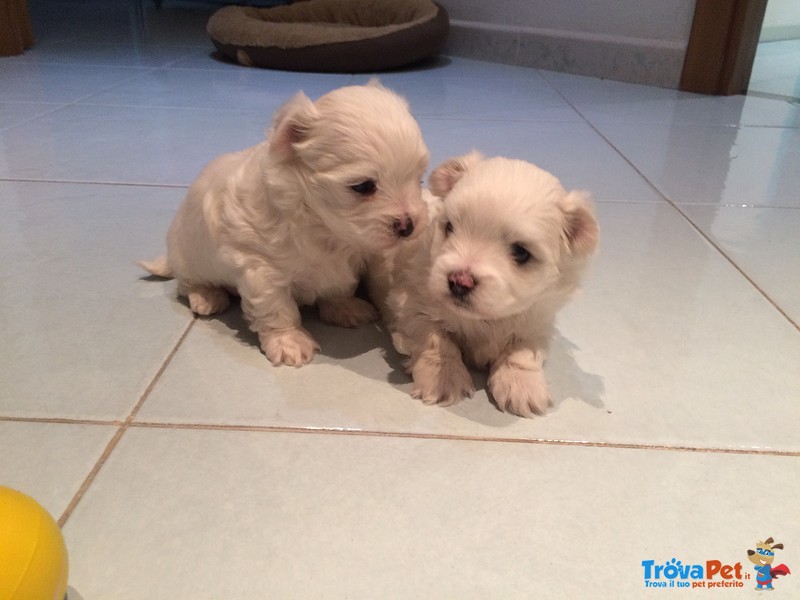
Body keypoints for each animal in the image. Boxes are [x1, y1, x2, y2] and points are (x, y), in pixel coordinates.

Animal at [144, 82, 432, 366]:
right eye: (363, 187)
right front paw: (288, 342)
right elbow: (277, 308)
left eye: (419, 178)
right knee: (188, 284)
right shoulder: (260, 267)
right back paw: (207, 297)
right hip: (189, 256)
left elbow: (339, 287)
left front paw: (345, 308)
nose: (409, 226)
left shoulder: (348, 261)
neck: (325, 228)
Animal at [368, 154, 592, 418]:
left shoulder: (538, 321)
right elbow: (436, 339)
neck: (486, 318)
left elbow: (523, 350)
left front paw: (522, 386)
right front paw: (445, 378)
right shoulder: (410, 303)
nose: (459, 282)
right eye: (450, 227)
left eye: (521, 252)